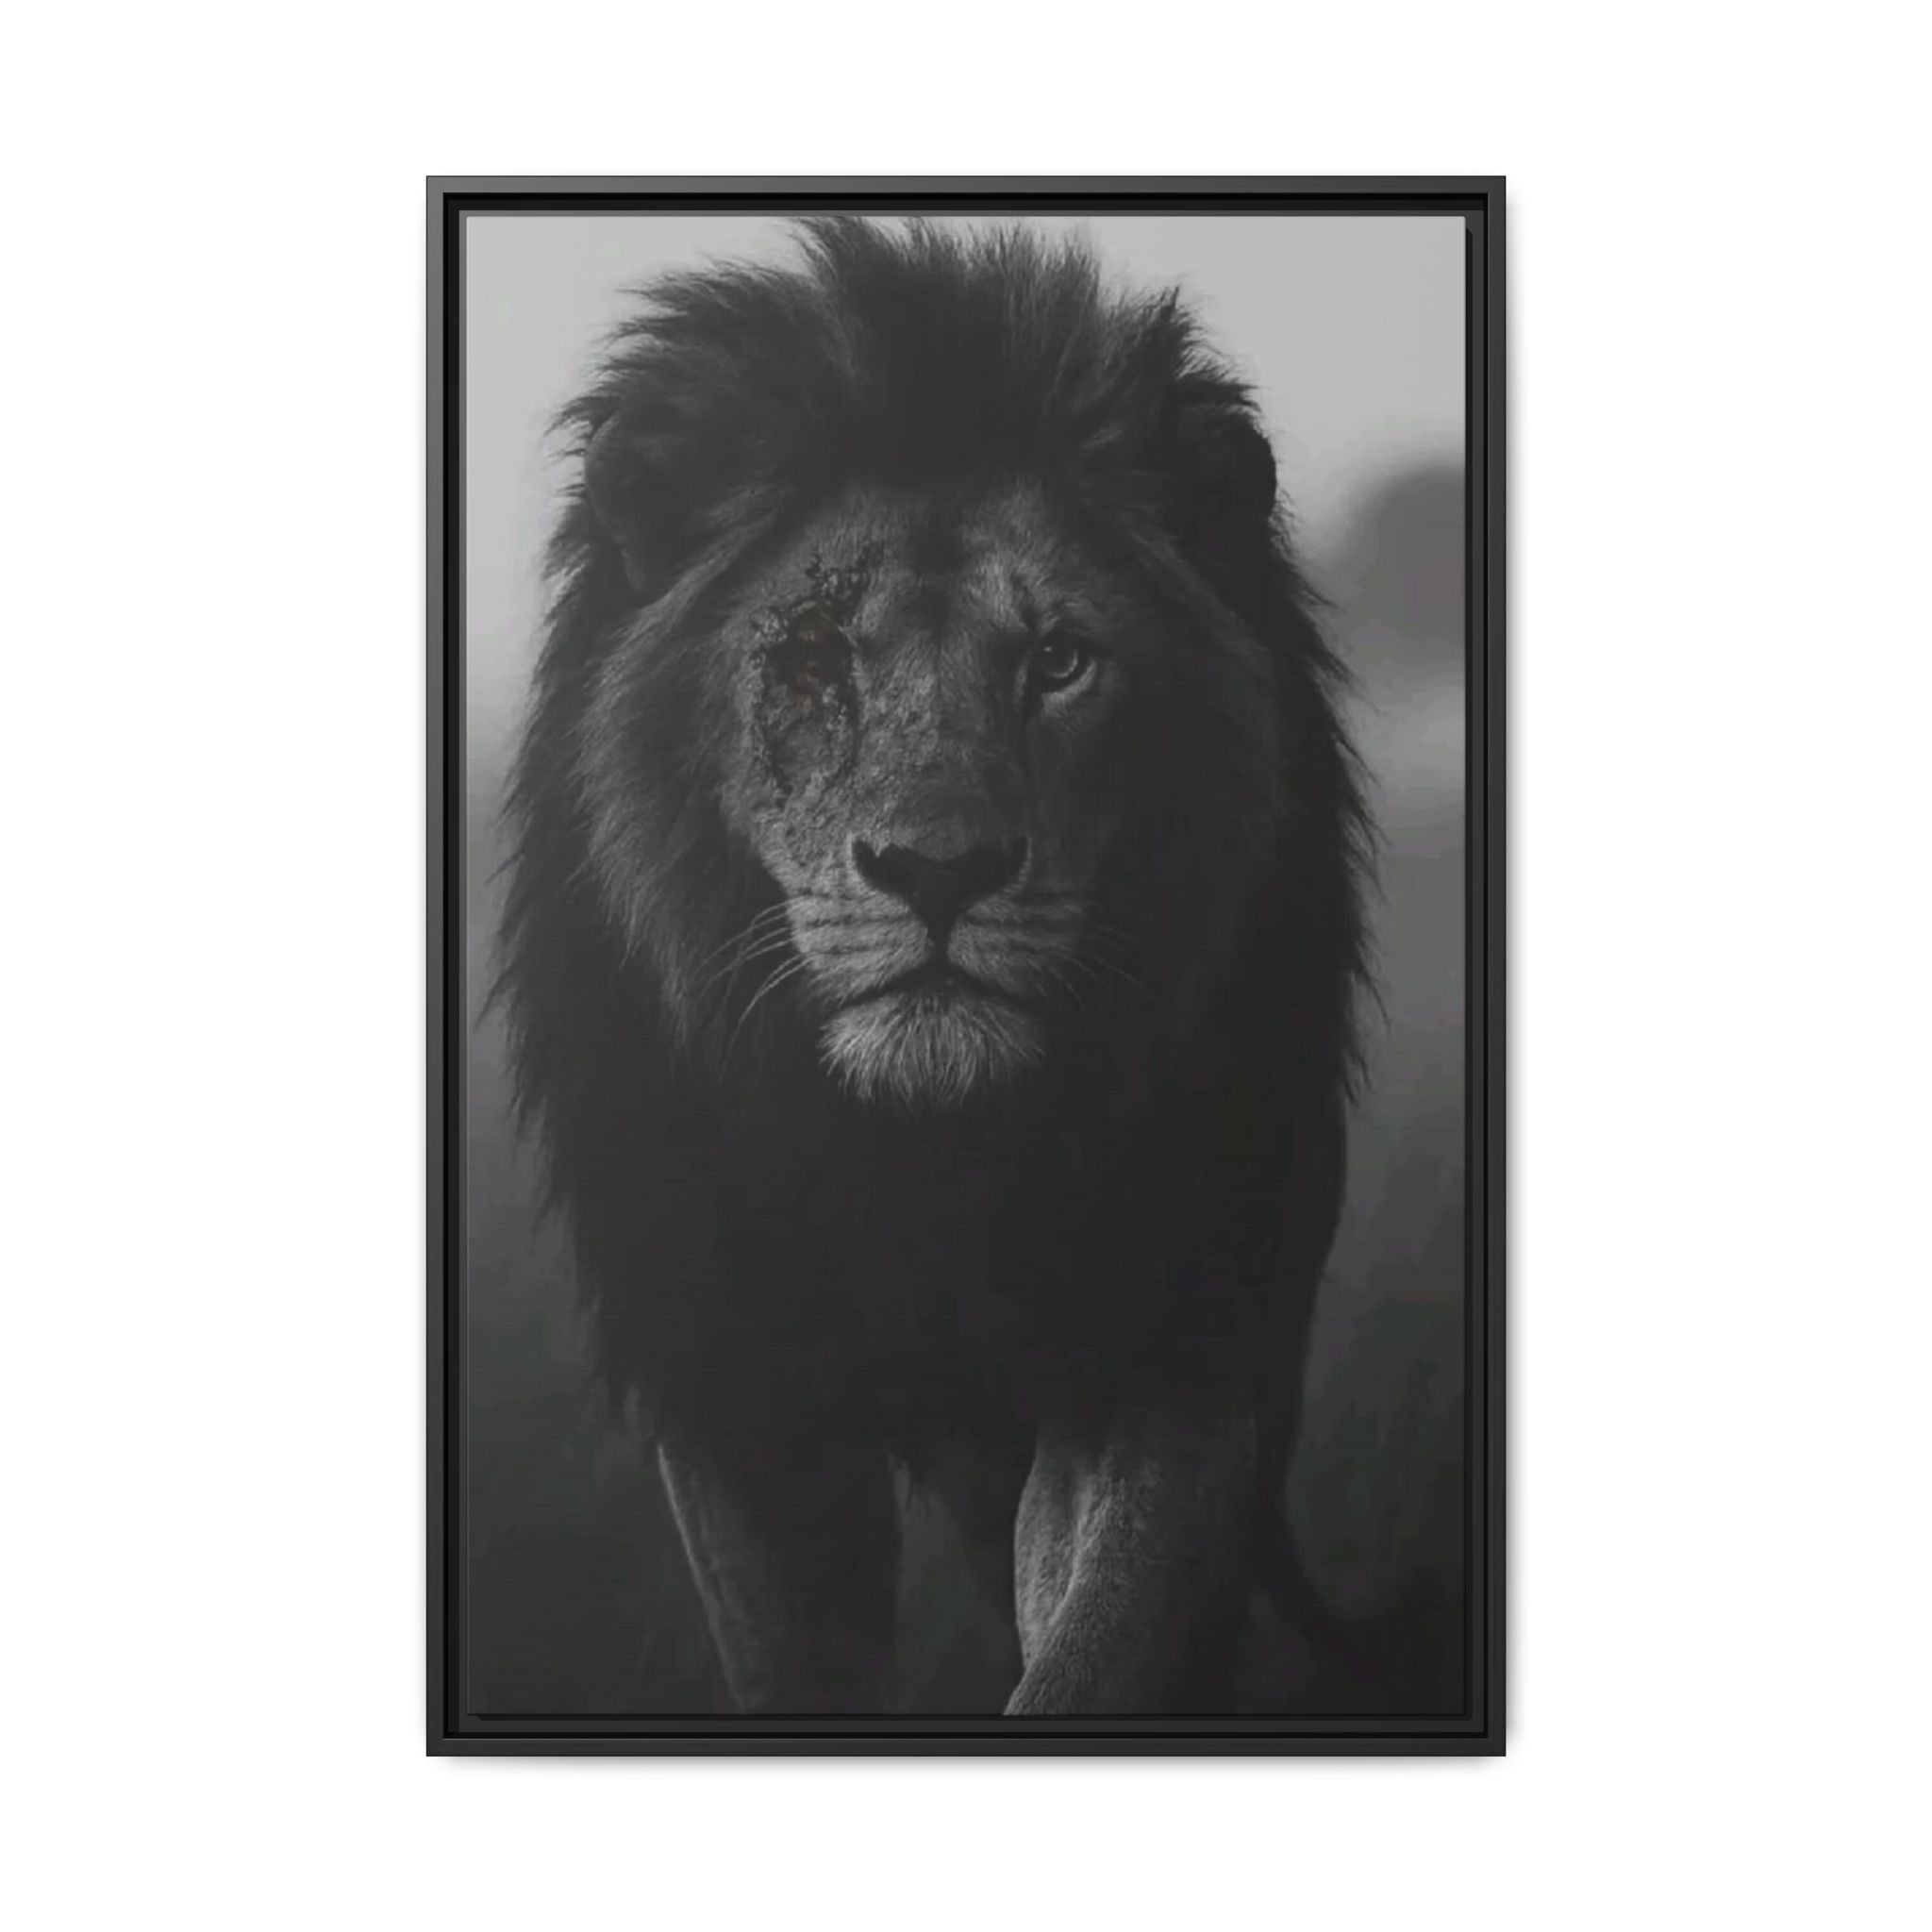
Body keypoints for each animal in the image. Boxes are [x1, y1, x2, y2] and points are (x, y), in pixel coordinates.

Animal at [499, 217, 1370, 1715]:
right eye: (808, 659)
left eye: (1061, 661)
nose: (939, 870)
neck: (922, 1157)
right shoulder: (731, 1380)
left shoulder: (1167, 1335)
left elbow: (1102, 1638)